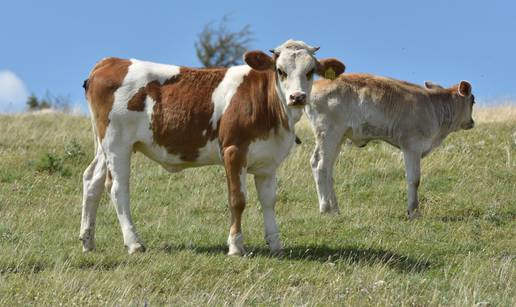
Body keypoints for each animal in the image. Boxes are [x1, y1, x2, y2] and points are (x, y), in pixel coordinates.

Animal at [80, 39, 344, 256]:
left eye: (310, 72)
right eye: (281, 71)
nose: (297, 97)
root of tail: (110, 61)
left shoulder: (268, 160)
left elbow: (269, 200)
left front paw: (276, 244)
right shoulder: (234, 150)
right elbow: (238, 199)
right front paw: (236, 246)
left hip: (104, 146)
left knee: (92, 180)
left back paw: (88, 241)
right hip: (118, 143)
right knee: (117, 189)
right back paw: (134, 243)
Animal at [306, 74, 476, 219]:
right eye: (473, 101)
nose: (472, 122)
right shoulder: (412, 145)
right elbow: (414, 179)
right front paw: (413, 212)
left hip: (338, 138)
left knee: (326, 168)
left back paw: (335, 208)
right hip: (328, 133)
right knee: (321, 165)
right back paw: (325, 208)